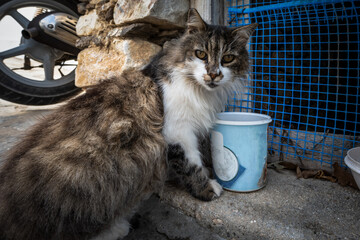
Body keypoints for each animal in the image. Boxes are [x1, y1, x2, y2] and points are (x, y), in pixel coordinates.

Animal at [143, 8, 256, 201]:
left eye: (228, 58)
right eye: (201, 54)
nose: (213, 74)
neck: (198, 92)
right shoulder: (177, 130)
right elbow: (191, 163)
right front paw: (206, 188)